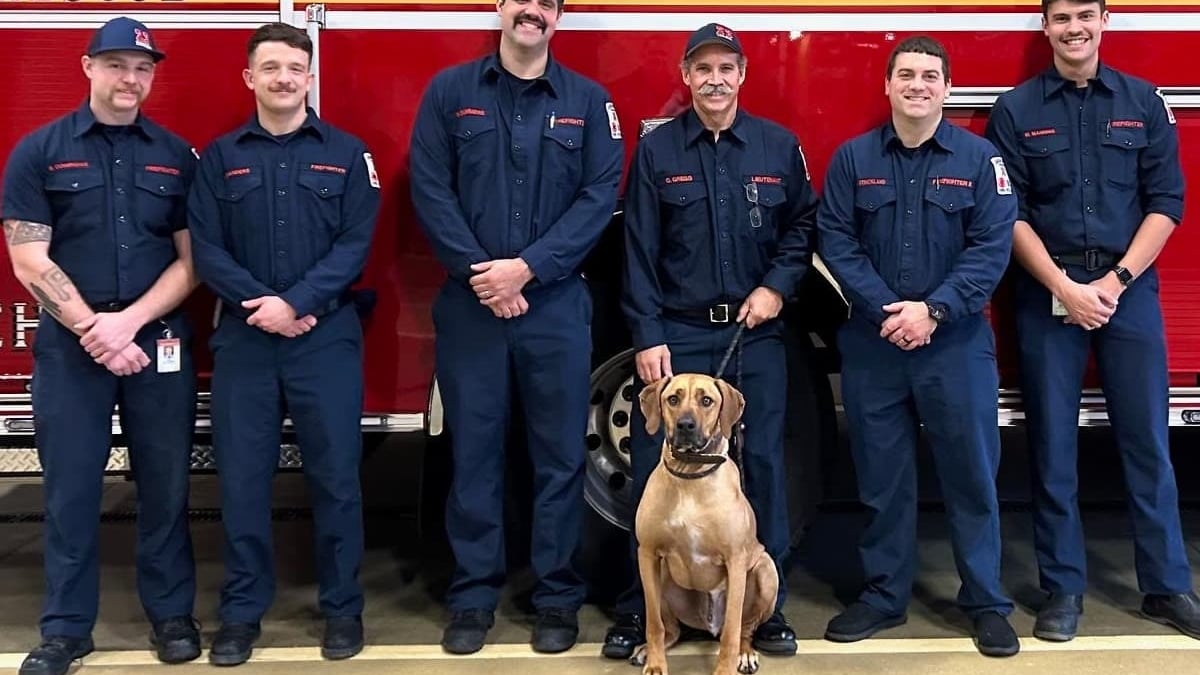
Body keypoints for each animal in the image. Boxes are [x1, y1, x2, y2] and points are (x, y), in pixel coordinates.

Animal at [638, 372, 777, 672]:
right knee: (671, 630)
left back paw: (745, 653)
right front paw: (656, 664)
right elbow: (654, 624)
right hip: (663, 576)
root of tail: (708, 625)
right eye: (673, 399)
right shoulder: (648, 554)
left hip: (765, 570)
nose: (685, 425)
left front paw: (724, 670)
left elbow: (732, 632)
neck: (690, 474)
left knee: (744, 629)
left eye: (706, 401)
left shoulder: (735, 559)